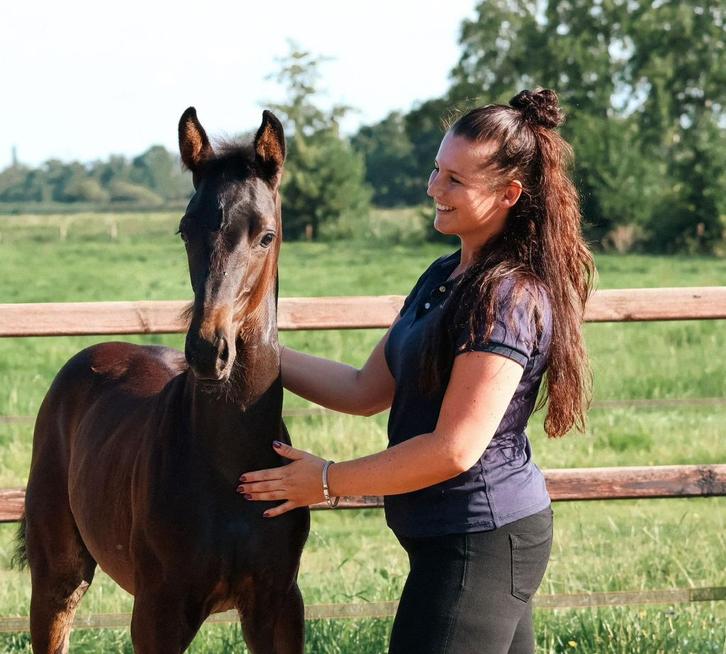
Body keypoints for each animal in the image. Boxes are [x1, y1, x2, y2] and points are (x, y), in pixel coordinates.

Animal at [17, 108, 310, 653]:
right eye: (185, 229)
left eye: (266, 235)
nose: (208, 350)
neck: (230, 462)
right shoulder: (158, 613)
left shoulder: (279, 606)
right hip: (58, 576)